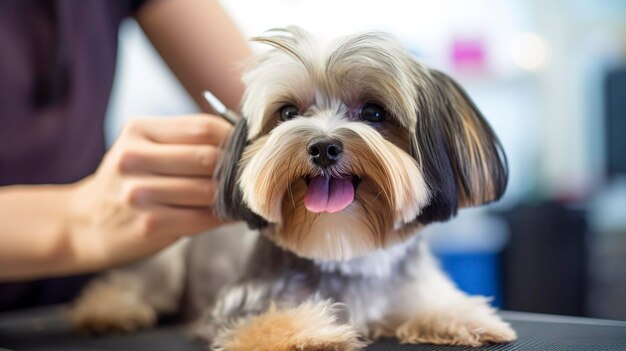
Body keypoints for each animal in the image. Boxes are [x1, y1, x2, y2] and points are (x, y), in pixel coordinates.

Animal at [70, 26, 516, 350]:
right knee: (130, 285)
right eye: (287, 114)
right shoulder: (234, 310)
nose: (322, 147)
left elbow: (432, 303)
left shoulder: (407, 289)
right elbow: (269, 321)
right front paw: (312, 331)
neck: (345, 249)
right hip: (166, 257)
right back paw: (107, 312)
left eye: (374, 113)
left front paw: (468, 318)